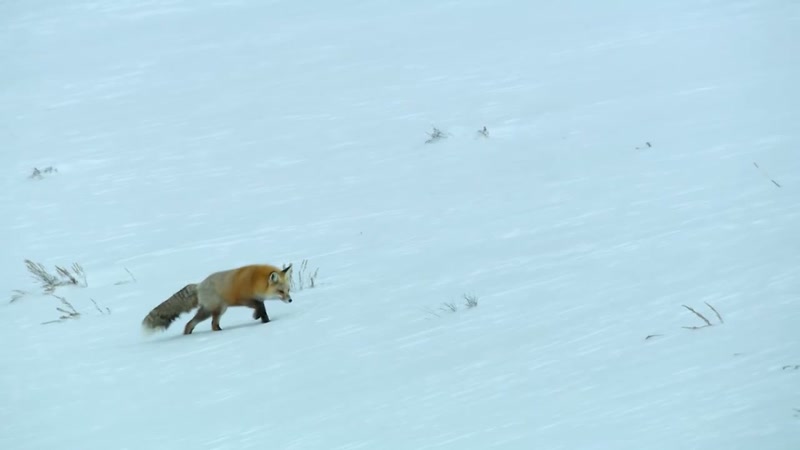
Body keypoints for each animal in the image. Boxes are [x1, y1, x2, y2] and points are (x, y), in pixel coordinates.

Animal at [141, 263, 293, 335]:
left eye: (288, 290)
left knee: (194, 324)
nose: (290, 300)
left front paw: (265, 320)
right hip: (216, 310)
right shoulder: (244, 299)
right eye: (280, 291)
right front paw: (259, 318)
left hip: (213, 311)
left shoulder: (257, 299)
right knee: (210, 325)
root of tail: (199, 285)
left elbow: (263, 310)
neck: (254, 281)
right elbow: (259, 307)